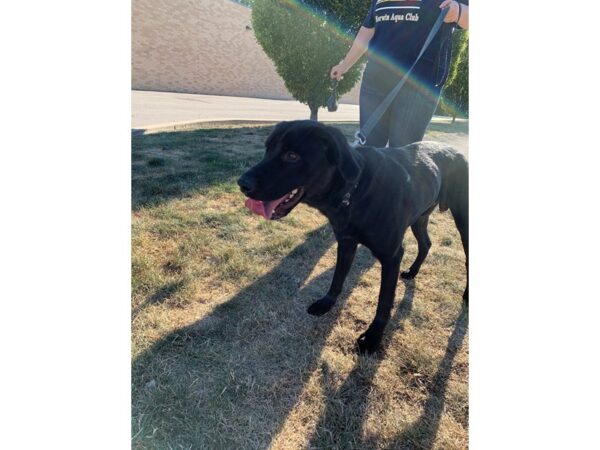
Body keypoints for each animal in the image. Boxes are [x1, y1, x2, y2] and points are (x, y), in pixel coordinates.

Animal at [239, 121, 468, 354]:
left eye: (292, 155)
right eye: (268, 149)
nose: (242, 183)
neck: (356, 190)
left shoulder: (392, 256)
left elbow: (384, 302)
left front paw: (373, 338)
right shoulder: (346, 242)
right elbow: (338, 278)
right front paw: (327, 303)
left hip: (463, 220)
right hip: (419, 218)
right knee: (426, 243)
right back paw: (413, 272)